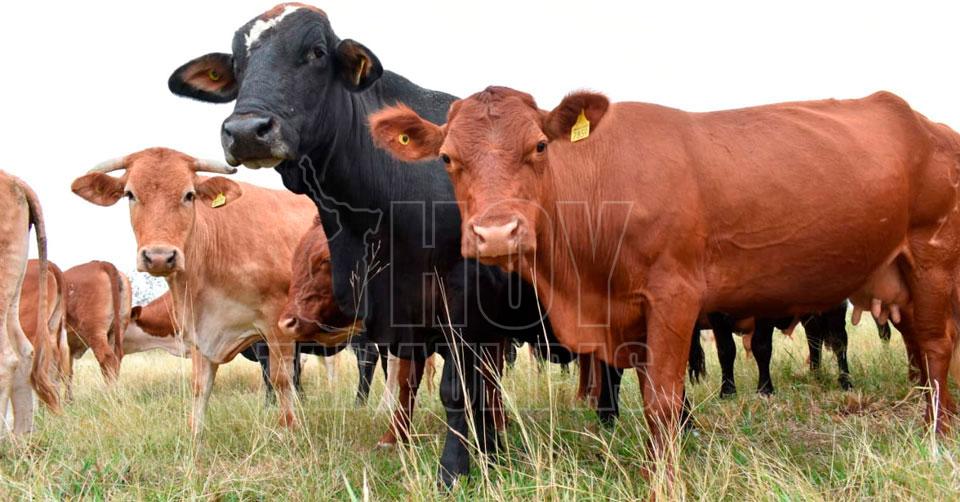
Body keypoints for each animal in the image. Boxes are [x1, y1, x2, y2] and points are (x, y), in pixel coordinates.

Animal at [62, 260, 131, 394]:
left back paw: (110, 393)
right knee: (116, 358)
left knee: (107, 358)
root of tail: (100, 263)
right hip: (117, 329)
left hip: (95, 333)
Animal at [71, 145, 328, 432]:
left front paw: (289, 431)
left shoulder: (277, 325)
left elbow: (282, 380)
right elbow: (200, 387)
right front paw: (195, 436)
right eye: (130, 194)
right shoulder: (199, 329)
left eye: (189, 195)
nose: (159, 257)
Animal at [165, 2, 608, 482]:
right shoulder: (405, 314)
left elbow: (456, 388)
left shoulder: (462, 300)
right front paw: (484, 449)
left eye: (316, 52)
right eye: (238, 63)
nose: (247, 130)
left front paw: (455, 468)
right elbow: (416, 381)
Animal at [370, 87, 960, 482]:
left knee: (935, 349)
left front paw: (664, 481)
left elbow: (662, 401)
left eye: (539, 146)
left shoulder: (675, 296)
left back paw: (939, 438)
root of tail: (928, 124)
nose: (496, 233)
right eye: (448, 158)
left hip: (933, 259)